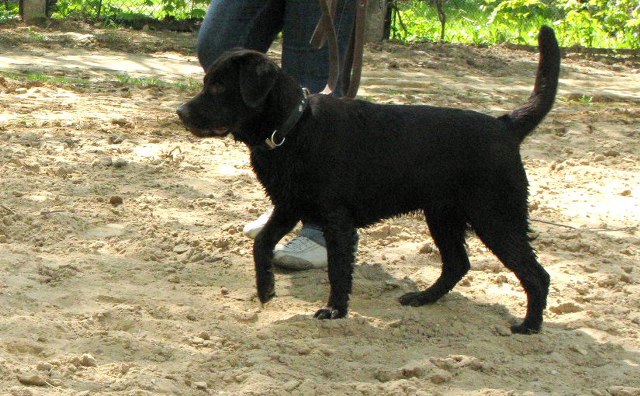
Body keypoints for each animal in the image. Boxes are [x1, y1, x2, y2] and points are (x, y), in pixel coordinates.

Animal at [179, 25, 560, 334]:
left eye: (219, 86)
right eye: (207, 82)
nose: (180, 112)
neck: (293, 128)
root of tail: (505, 125)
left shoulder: (336, 221)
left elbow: (338, 270)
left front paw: (334, 310)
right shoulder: (288, 207)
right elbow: (260, 245)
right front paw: (266, 289)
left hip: (496, 218)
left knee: (536, 274)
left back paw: (529, 326)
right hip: (443, 216)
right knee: (457, 264)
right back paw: (423, 298)